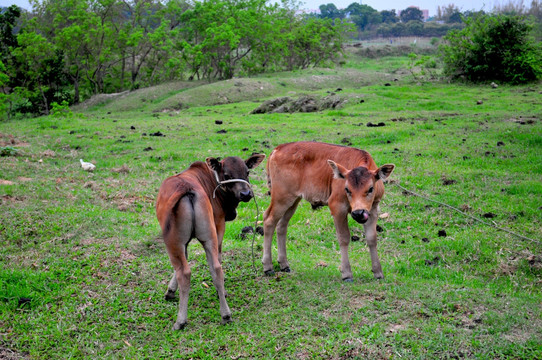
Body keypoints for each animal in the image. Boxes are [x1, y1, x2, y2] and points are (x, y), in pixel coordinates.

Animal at [156, 153, 266, 328]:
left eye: (247, 172)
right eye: (227, 175)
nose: (246, 194)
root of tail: (188, 190)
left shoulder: (217, 224)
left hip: (174, 240)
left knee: (185, 272)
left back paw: (181, 321)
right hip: (209, 236)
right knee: (216, 268)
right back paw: (226, 314)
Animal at [264, 141, 396, 282]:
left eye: (371, 188)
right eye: (347, 189)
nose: (358, 213)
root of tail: (277, 149)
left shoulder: (373, 209)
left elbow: (372, 238)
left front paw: (378, 272)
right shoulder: (337, 207)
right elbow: (344, 237)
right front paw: (347, 274)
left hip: (293, 200)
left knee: (282, 225)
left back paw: (284, 265)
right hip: (281, 198)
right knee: (268, 220)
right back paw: (268, 267)